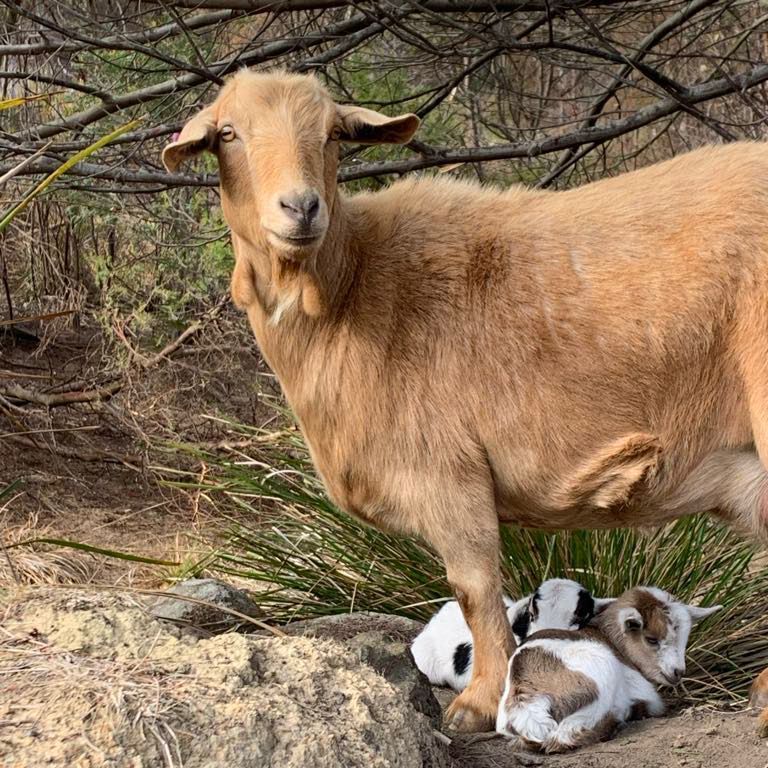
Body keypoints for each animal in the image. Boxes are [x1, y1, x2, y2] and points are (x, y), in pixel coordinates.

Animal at [496, 587, 721, 752]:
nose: (677, 672)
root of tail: (527, 697)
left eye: (684, 638)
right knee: (566, 735)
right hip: (599, 676)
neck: (609, 639)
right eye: (651, 639)